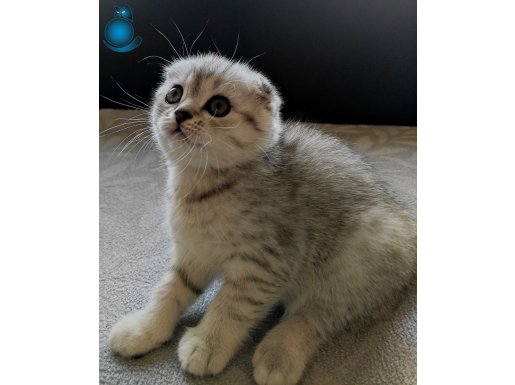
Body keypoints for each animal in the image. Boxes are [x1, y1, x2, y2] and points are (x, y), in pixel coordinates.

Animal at [108, 53, 416, 384]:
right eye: (174, 94)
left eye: (219, 106)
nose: (180, 113)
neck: (202, 188)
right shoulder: (193, 252)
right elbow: (170, 290)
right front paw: (144, 328)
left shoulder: (265, 265)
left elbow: (231, 307)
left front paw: (207, 344)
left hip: (354, 260)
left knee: (318, 314)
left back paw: (278, 355)